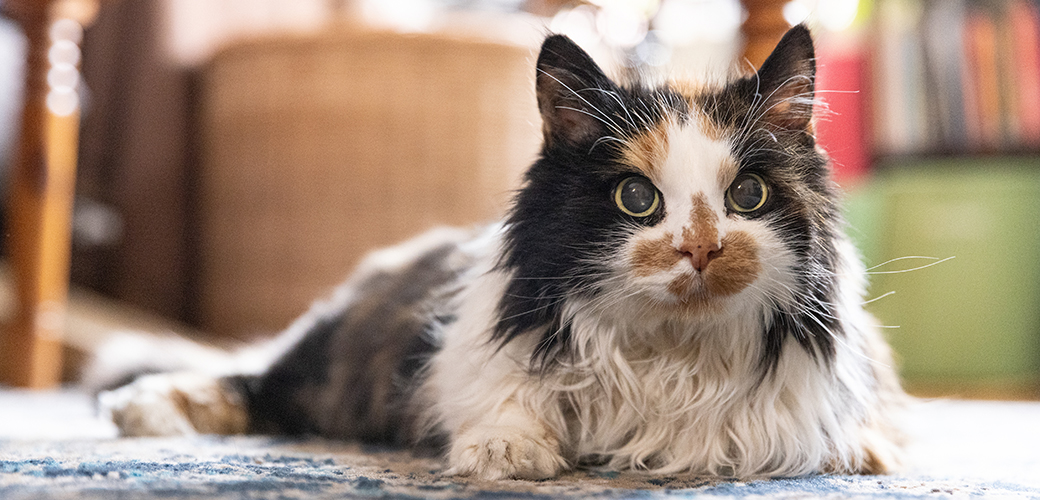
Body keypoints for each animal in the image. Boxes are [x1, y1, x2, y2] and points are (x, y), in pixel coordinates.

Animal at [101, 26, 906, 480]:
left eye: (748, 195)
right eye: (636, 199)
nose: (702, 249)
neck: (674, 353)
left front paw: (858, 452)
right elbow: (506, 403)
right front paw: (506, 456)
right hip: (330, 361)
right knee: (253, 380)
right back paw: (143, 409)